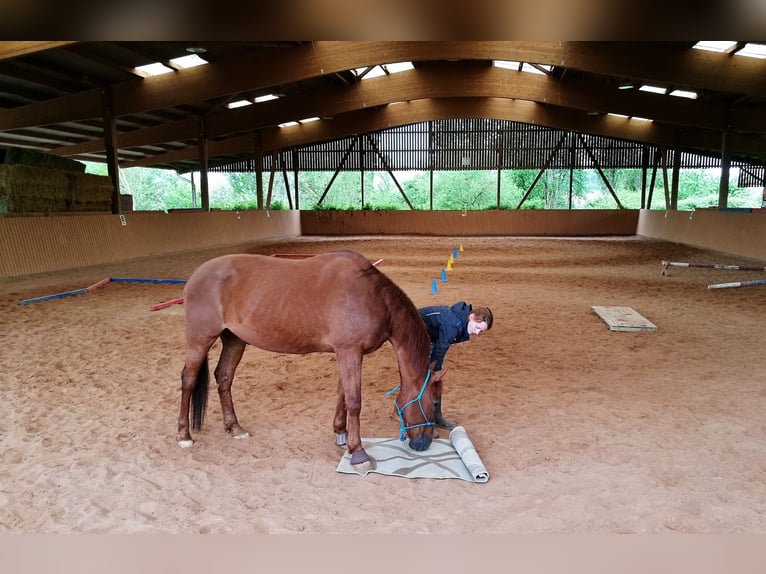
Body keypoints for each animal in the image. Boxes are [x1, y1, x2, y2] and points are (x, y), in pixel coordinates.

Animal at [176, 249, 436, 467]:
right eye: (434, 403)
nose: (424, 444)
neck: (372, 295)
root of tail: (195, 276)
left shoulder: (346, 353)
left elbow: (343, 394)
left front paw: (340, 433)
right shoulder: (349, 351)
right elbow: (354, 401)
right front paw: (358, 451)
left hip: (234, 340)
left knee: (224, 377)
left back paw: (235, 428)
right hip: (200, 340)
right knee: (188, 379)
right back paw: (184, 435)